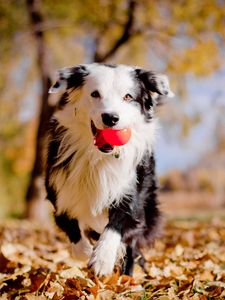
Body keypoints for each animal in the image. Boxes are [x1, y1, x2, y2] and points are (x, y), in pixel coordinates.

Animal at [45, 63, 172, 276]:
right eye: (95, 94)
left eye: (128, 96)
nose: (111, 118)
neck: (100, 157)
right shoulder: (60, 193)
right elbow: (71, 229)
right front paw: (87, 252)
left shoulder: (131, 193)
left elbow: (116, 225)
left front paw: (102, 259)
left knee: (131, 246)